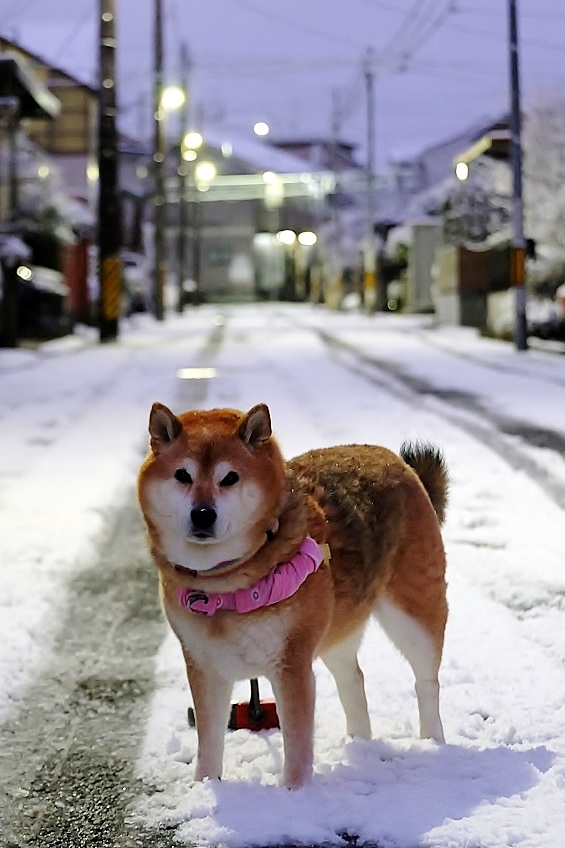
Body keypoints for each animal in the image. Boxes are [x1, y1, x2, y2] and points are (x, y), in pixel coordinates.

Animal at [134, 402, 448, 788]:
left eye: (229, 478)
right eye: (182, 475)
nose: (203, 514)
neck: (225, 583)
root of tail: (396, 461)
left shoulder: (291, 664)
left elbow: (297, 744)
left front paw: (293, 792)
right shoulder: (205, 666)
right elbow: (209, 741)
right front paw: (204, 787)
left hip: (413, 614)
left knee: (426, 681)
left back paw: (433, 741)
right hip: (337, 626)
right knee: (352, 679)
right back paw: (359, 744)